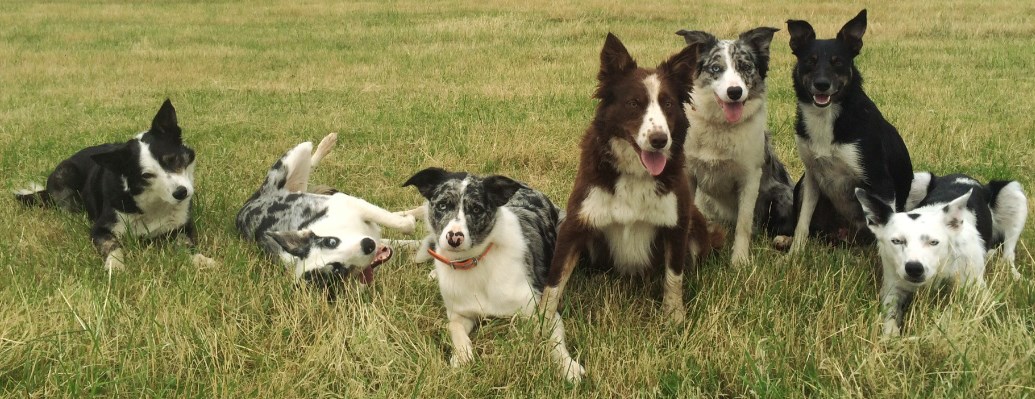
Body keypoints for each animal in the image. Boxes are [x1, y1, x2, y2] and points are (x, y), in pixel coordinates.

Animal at [401, 166, 587, 382]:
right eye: (442, 205)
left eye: (476, 209)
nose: (454, 238)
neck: (475, 263)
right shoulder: (460, 314)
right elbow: (453, 327)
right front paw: (462, 355)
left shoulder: (539, 310)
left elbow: (552, 339)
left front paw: (568, 366)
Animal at [674, 27, 794, 264]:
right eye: (716, 68)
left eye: (745, 67)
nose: (735, 92)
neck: (721, 127)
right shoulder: (689, 174)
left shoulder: (750, 179)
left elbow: (744, 225)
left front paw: (739, 261)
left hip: (782, 194)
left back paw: (783, 240)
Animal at [778, 10, 914, 252]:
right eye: (810, 61)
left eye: (838, 62)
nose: (822, 85)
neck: (828, 116)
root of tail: (845, 236)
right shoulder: (812, 176)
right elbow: (803, 222)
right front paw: (795, 253)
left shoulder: (880, 182)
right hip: (801, 186)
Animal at [856, 172, 1026, 334]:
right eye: (897, 241)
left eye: (934, 242)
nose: (914, 268)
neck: (942, 262)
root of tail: (968, 178)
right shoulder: (892, 288)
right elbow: (890, 315)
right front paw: (890, 337)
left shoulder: (976, 291)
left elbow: (951, 314)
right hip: (918, 180)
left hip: (1014, 193)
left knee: (1008, 253)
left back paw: (1012, 272)